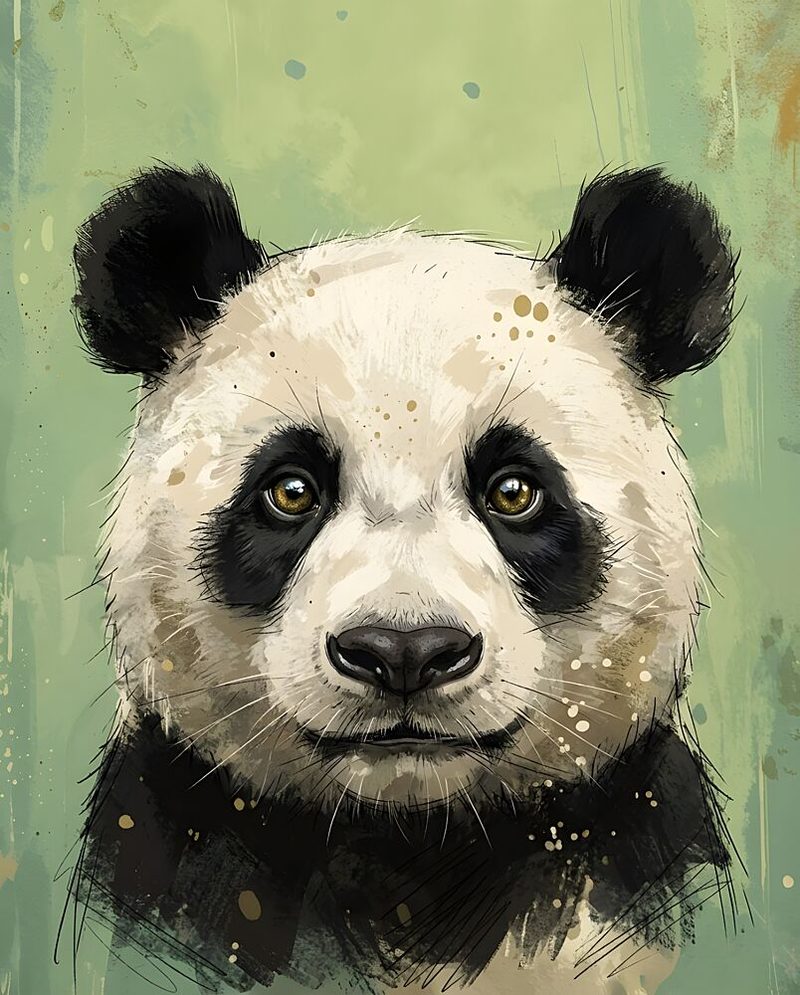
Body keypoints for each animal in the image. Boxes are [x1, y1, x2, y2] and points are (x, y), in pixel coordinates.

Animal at [63, 164, 739, 994]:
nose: (405, 652)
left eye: (515, 490)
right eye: (291, 490)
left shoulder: (621, 833)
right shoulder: (182, 831)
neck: (409, 844)